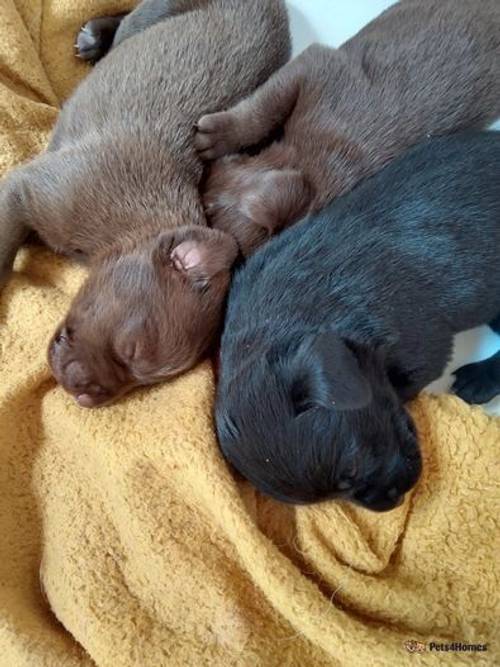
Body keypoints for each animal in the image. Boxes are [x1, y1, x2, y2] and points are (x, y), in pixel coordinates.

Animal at [0, 0, 290, 408]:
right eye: (130, 349)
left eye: (143, 381)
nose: (84, 398)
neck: (132, 226)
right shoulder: (24, 188)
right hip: (154, 15)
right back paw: (96, 34)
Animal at [194, 0, 500, 256]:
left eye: (209, 211)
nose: (202, 178)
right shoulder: (315, 68)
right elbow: (266, 106)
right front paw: (217, 135)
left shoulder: (318, 67)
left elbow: (265, 106)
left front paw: (208, 140)